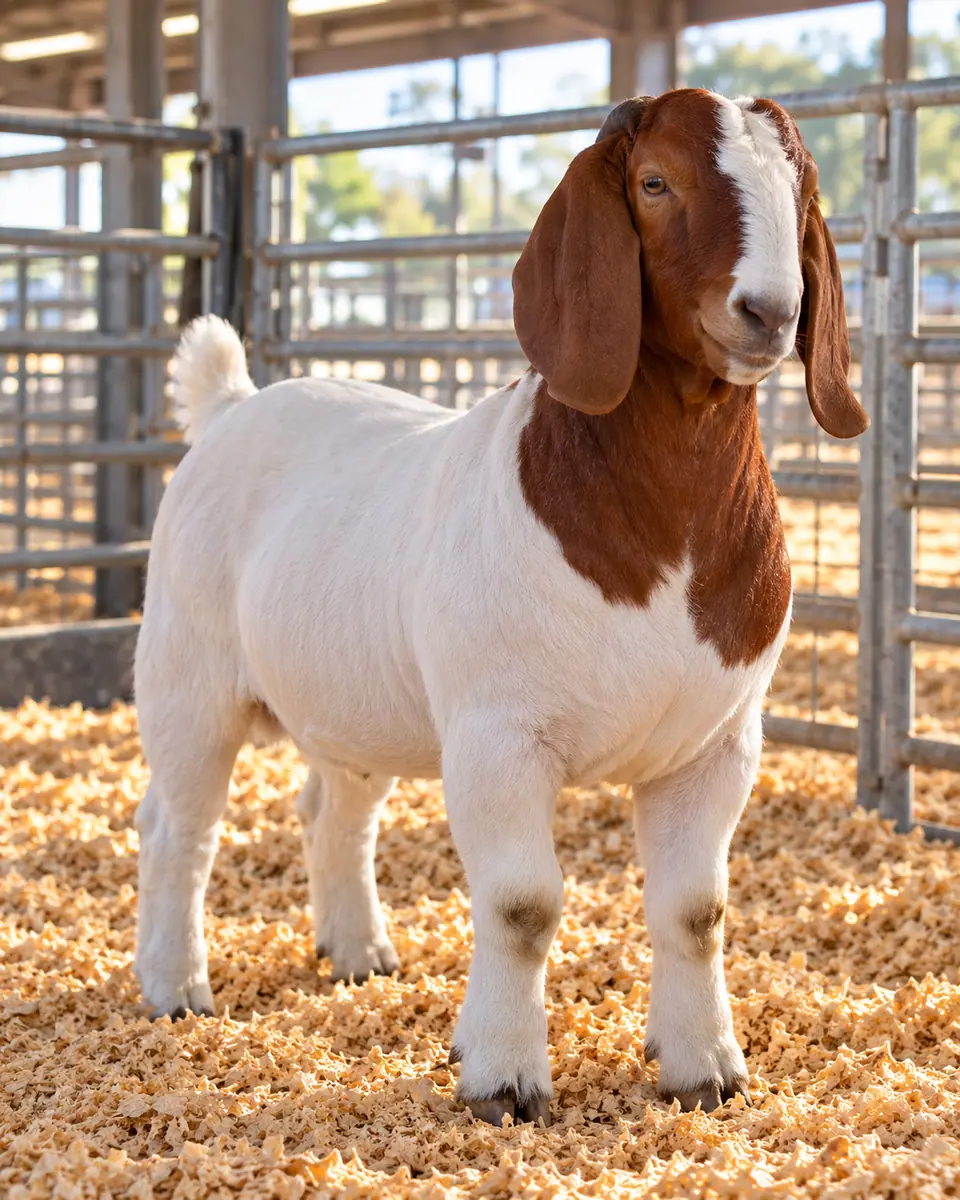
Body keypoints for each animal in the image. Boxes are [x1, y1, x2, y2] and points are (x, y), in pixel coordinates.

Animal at [133, 88, 868, 1127]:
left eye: (799, 190)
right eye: (655, 182)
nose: (770, 311)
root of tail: (234, 403)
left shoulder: (718, 743)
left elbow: (696, 911)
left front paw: (706, 1071)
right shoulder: (496, 735)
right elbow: (524, 906)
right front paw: (505, 1079)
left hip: (360, 692)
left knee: (333, 808)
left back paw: (358, 954)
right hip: (187, 672)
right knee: (180, 826)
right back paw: (175, 988)